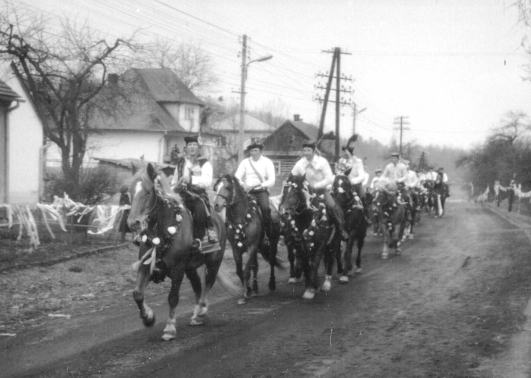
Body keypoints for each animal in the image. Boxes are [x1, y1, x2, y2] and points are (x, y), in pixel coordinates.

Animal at [127, 164, 233, 342]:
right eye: (129, 192)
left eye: (148, 193)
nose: (132, 222)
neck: (163, 231)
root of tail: (219, 220)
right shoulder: (146, 265)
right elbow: (137, 294)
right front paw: (148, 318)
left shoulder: (177, 269)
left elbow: (173, 298)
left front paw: (169, 328)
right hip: (191, 269)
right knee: (198, 287)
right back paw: (197, 315)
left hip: (213, 263)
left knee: (207, 285)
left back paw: (201, 311)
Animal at [213, 174, 282, 304]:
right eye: (216, 187)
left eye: (228, 187)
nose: (216, 205)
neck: (242, 219)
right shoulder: (236, 249)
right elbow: (240, 271)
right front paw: (248, 290)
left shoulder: (251, 247)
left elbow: (246, 271)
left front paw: (247, 293)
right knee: (255, 266)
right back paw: (255, 288)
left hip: (272, 243)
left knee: (270, 261)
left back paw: (272, 284)